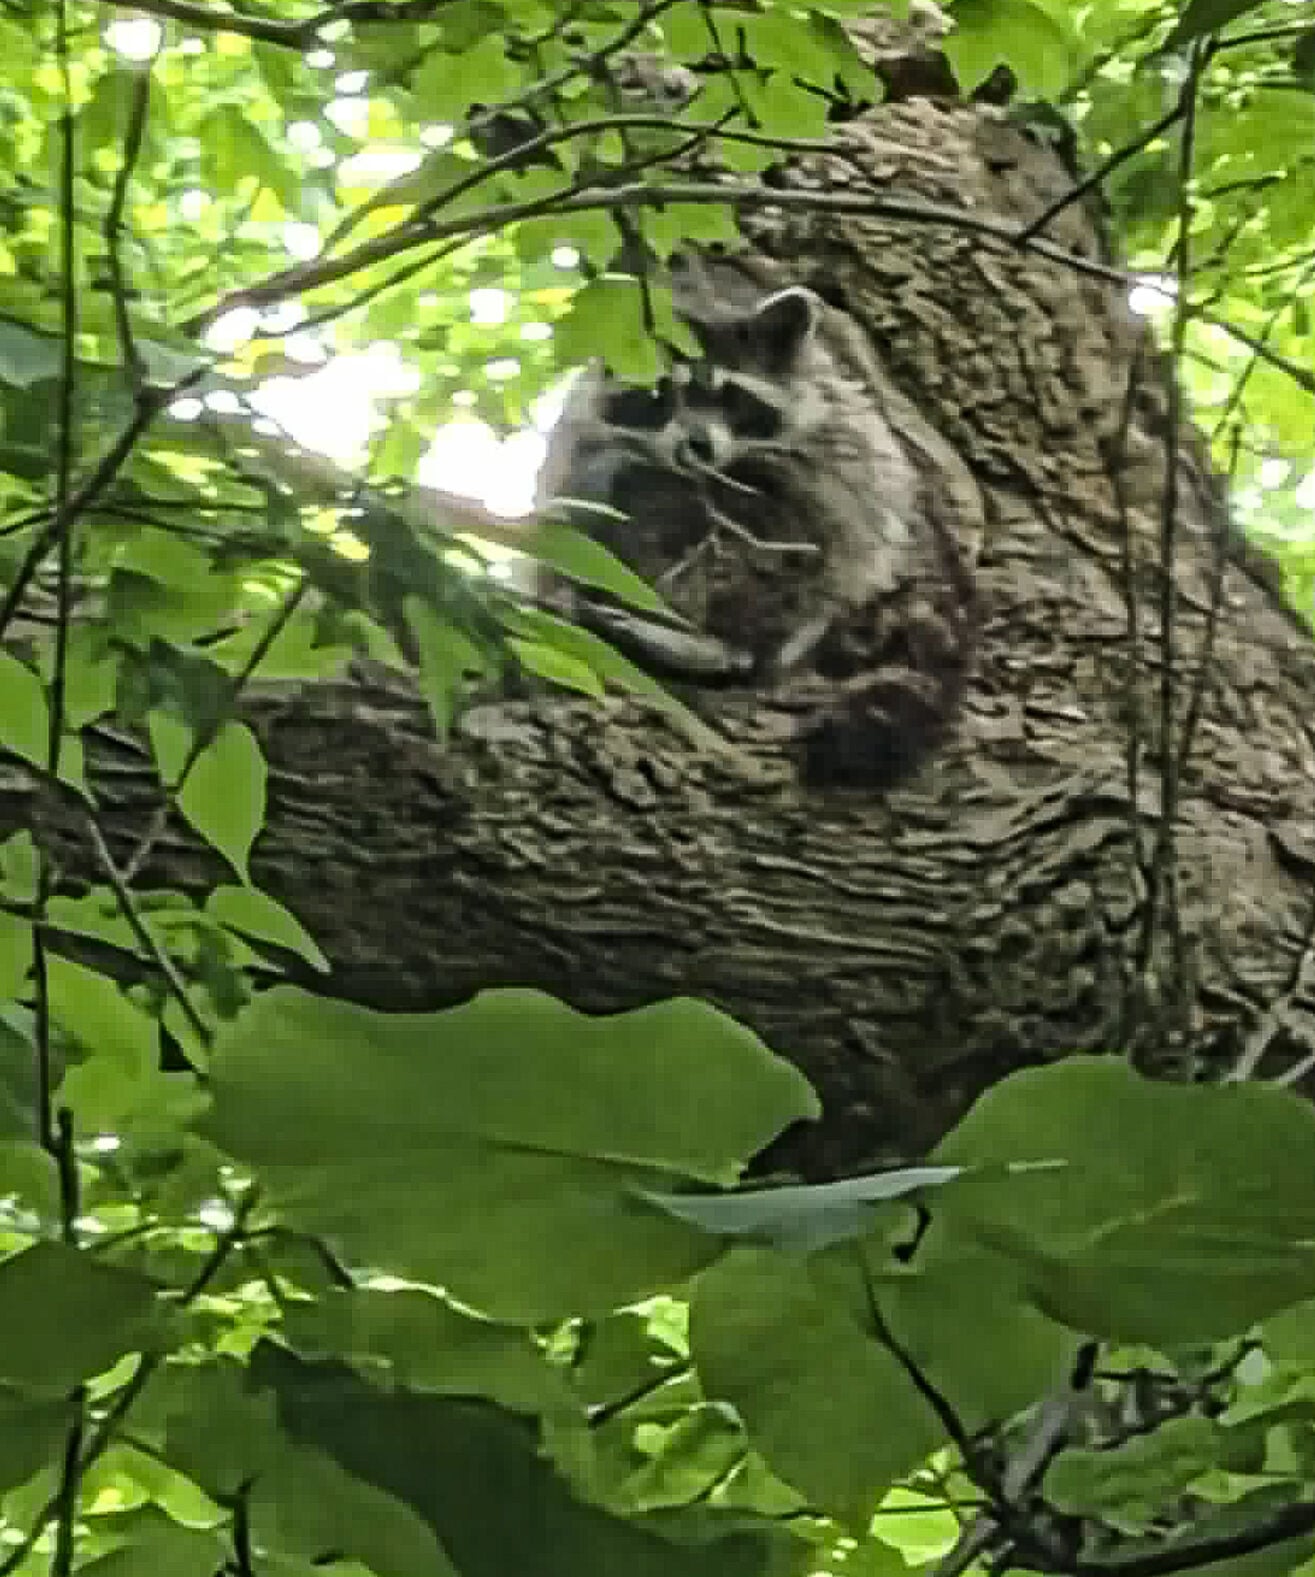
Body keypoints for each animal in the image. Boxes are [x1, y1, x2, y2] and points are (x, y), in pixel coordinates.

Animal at [534, 260, 974, 789]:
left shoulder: (834, 428)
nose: (697, 447)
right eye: (660, 394)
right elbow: (579, 488)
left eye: (732, 397)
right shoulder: (584, 431)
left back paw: (723, 643)